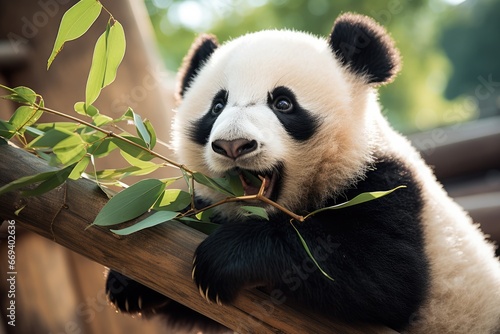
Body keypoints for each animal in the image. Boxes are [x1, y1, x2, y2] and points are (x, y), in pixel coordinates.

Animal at [107, 12, 500, 332]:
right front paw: (127, 281)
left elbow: (382, 274)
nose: (234, 145)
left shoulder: (385, 185)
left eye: (283, 103)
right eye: (217, 106)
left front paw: (224, 257)